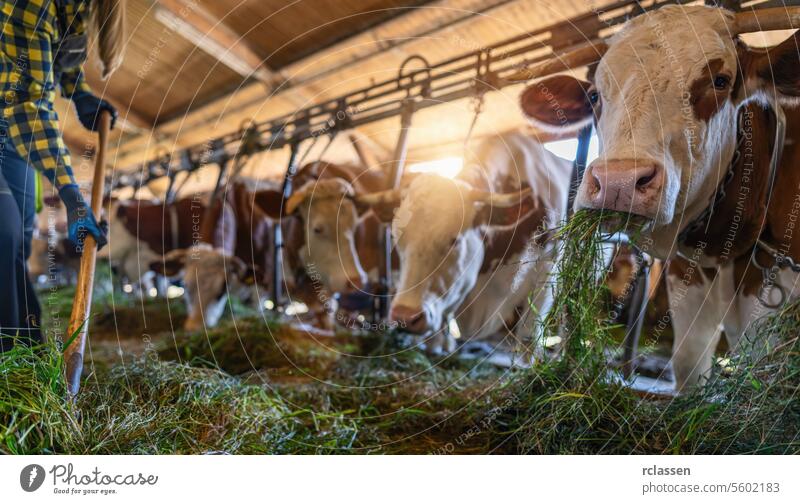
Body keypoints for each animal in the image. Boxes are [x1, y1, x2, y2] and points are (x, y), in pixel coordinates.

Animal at [354, 132, 568, 356]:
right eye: (398, 239)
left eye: (454, 240)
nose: (405, 316)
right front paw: (440, 345)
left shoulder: (548, 271)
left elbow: (530, 332)